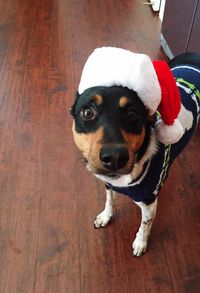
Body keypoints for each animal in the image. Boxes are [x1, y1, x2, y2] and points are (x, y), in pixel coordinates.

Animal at [70, 48, 200, 256]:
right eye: (87, 112)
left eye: (132, 113)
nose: (115, 157)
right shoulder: (108, 184)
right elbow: (109, 200)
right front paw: (105, 216)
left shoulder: (149, 202)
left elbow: (145, 225)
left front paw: (140, 243)